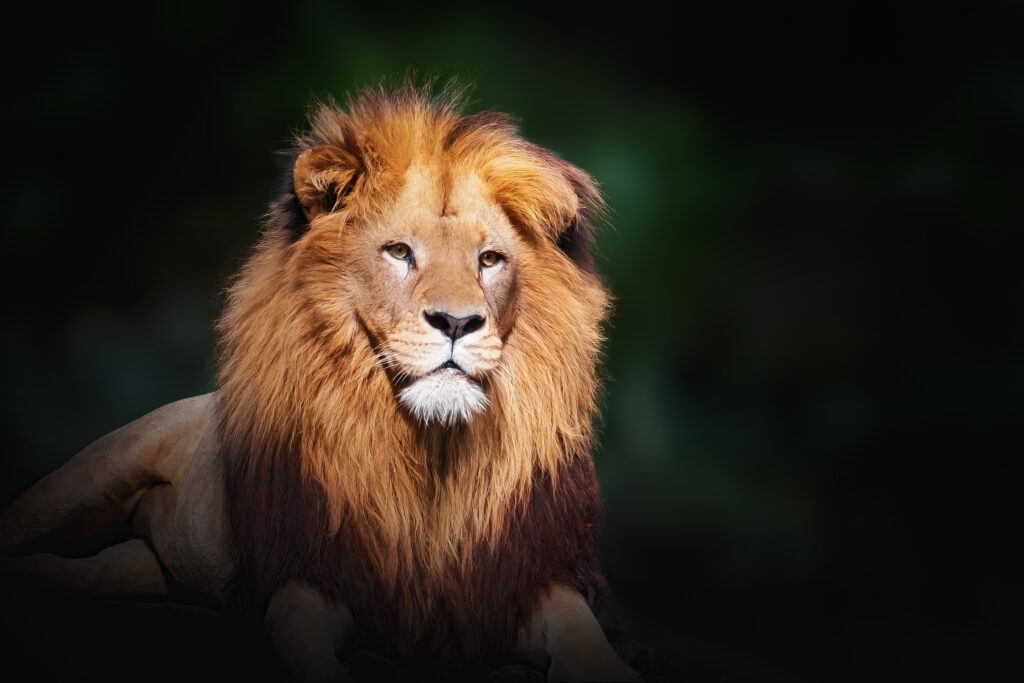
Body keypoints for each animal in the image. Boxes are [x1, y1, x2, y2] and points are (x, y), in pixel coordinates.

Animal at [0, 84, 641, 682]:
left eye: (489, 260)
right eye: (399, 252)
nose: (457, 322)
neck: (432, 452)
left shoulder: (520, 585)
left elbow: (580, 631)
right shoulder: (312, 573)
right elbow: (300, 633)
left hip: (146, 564)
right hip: (88, 478)